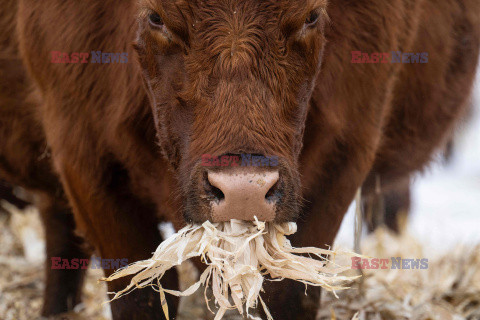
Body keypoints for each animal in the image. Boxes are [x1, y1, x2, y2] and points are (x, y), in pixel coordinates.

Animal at [0, 0, 478, 318]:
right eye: (156, 15)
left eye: (311, 15)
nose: (243, 190)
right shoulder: (85, 157)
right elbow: (138, 295)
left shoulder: (343, 155)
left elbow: (290, 293)